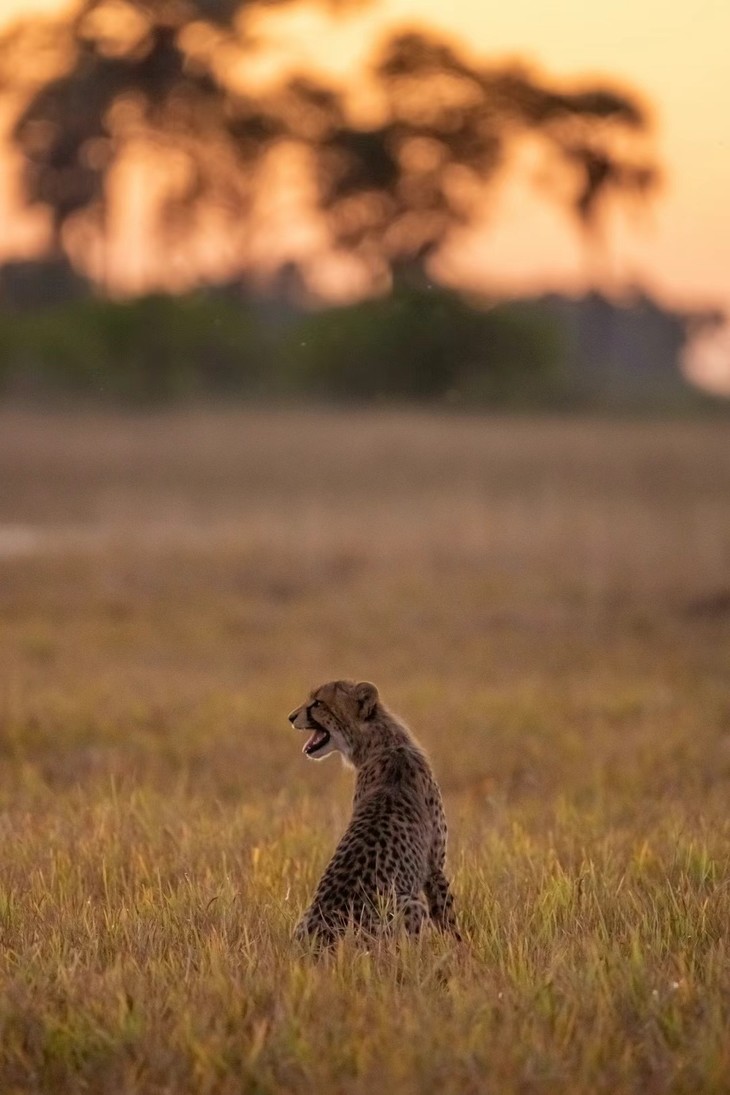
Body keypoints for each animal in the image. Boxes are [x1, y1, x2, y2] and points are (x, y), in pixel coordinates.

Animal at [288, 679, 460, 946]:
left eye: (317, 703)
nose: (291, 717)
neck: (385, 743)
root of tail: (323, 937)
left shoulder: (433, 868)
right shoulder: (434, 868)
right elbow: (449, 923)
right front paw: (461, 951)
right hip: (411, 905)